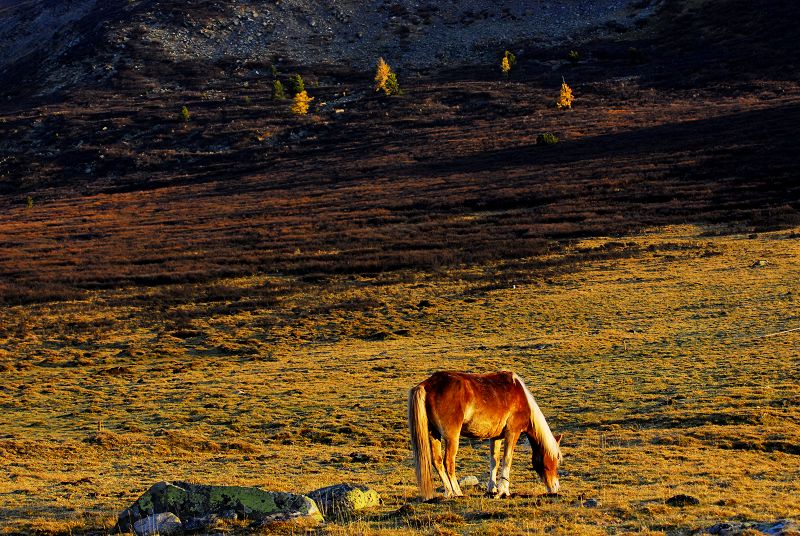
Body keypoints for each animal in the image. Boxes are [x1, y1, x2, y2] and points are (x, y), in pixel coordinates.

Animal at [410, 370, 560, 500]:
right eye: (555, 460)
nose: (555, 488)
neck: (521, 397)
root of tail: (428, 384)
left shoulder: (496, 437)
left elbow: (494, 461)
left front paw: (492, 489)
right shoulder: (512, 432)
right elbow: (507, 459)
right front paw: (503, 491)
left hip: (434, 434)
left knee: (437, 461)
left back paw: (449, 492)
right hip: (451, 437)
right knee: (448, 462)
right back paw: (457, 492)